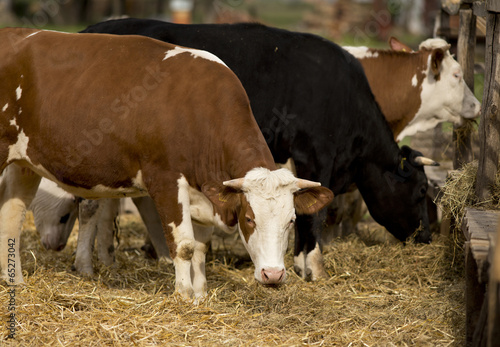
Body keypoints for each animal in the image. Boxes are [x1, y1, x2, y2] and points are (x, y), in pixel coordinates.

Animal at [0, 27, 332, 300]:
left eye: (291, 220)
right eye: (249, 219)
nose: (273, 275)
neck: (199, 112)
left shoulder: (205, 195)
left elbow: (200, 248)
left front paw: (200, 294)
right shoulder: (166, 181)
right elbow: (183, 246)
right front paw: (184, 295)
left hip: (23, 164)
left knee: (12, 217)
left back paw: (14, 281)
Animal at [81, 19, 438, 282]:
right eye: (422, 190)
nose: (430, 234)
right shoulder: (314, 157)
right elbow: (314, 215)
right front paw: (312, 267)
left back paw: (104, 262)